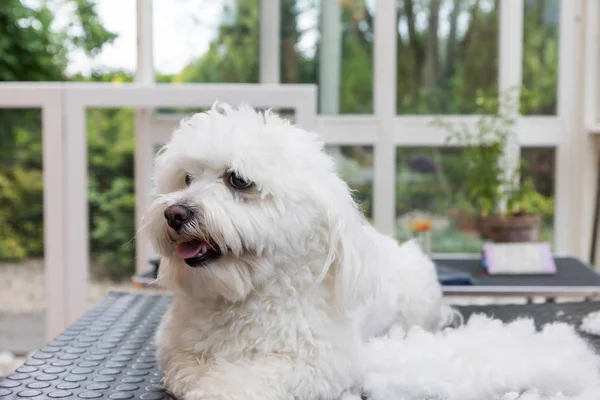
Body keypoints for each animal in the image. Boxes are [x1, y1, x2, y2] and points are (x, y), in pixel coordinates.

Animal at [144, 104, 454, 400]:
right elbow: (186, 367)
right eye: (187, 178)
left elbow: (249, 377)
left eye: (238, 180)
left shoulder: (318, 361)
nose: (174, 214)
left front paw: (217, 387)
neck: (245, 297)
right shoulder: (177, 349)